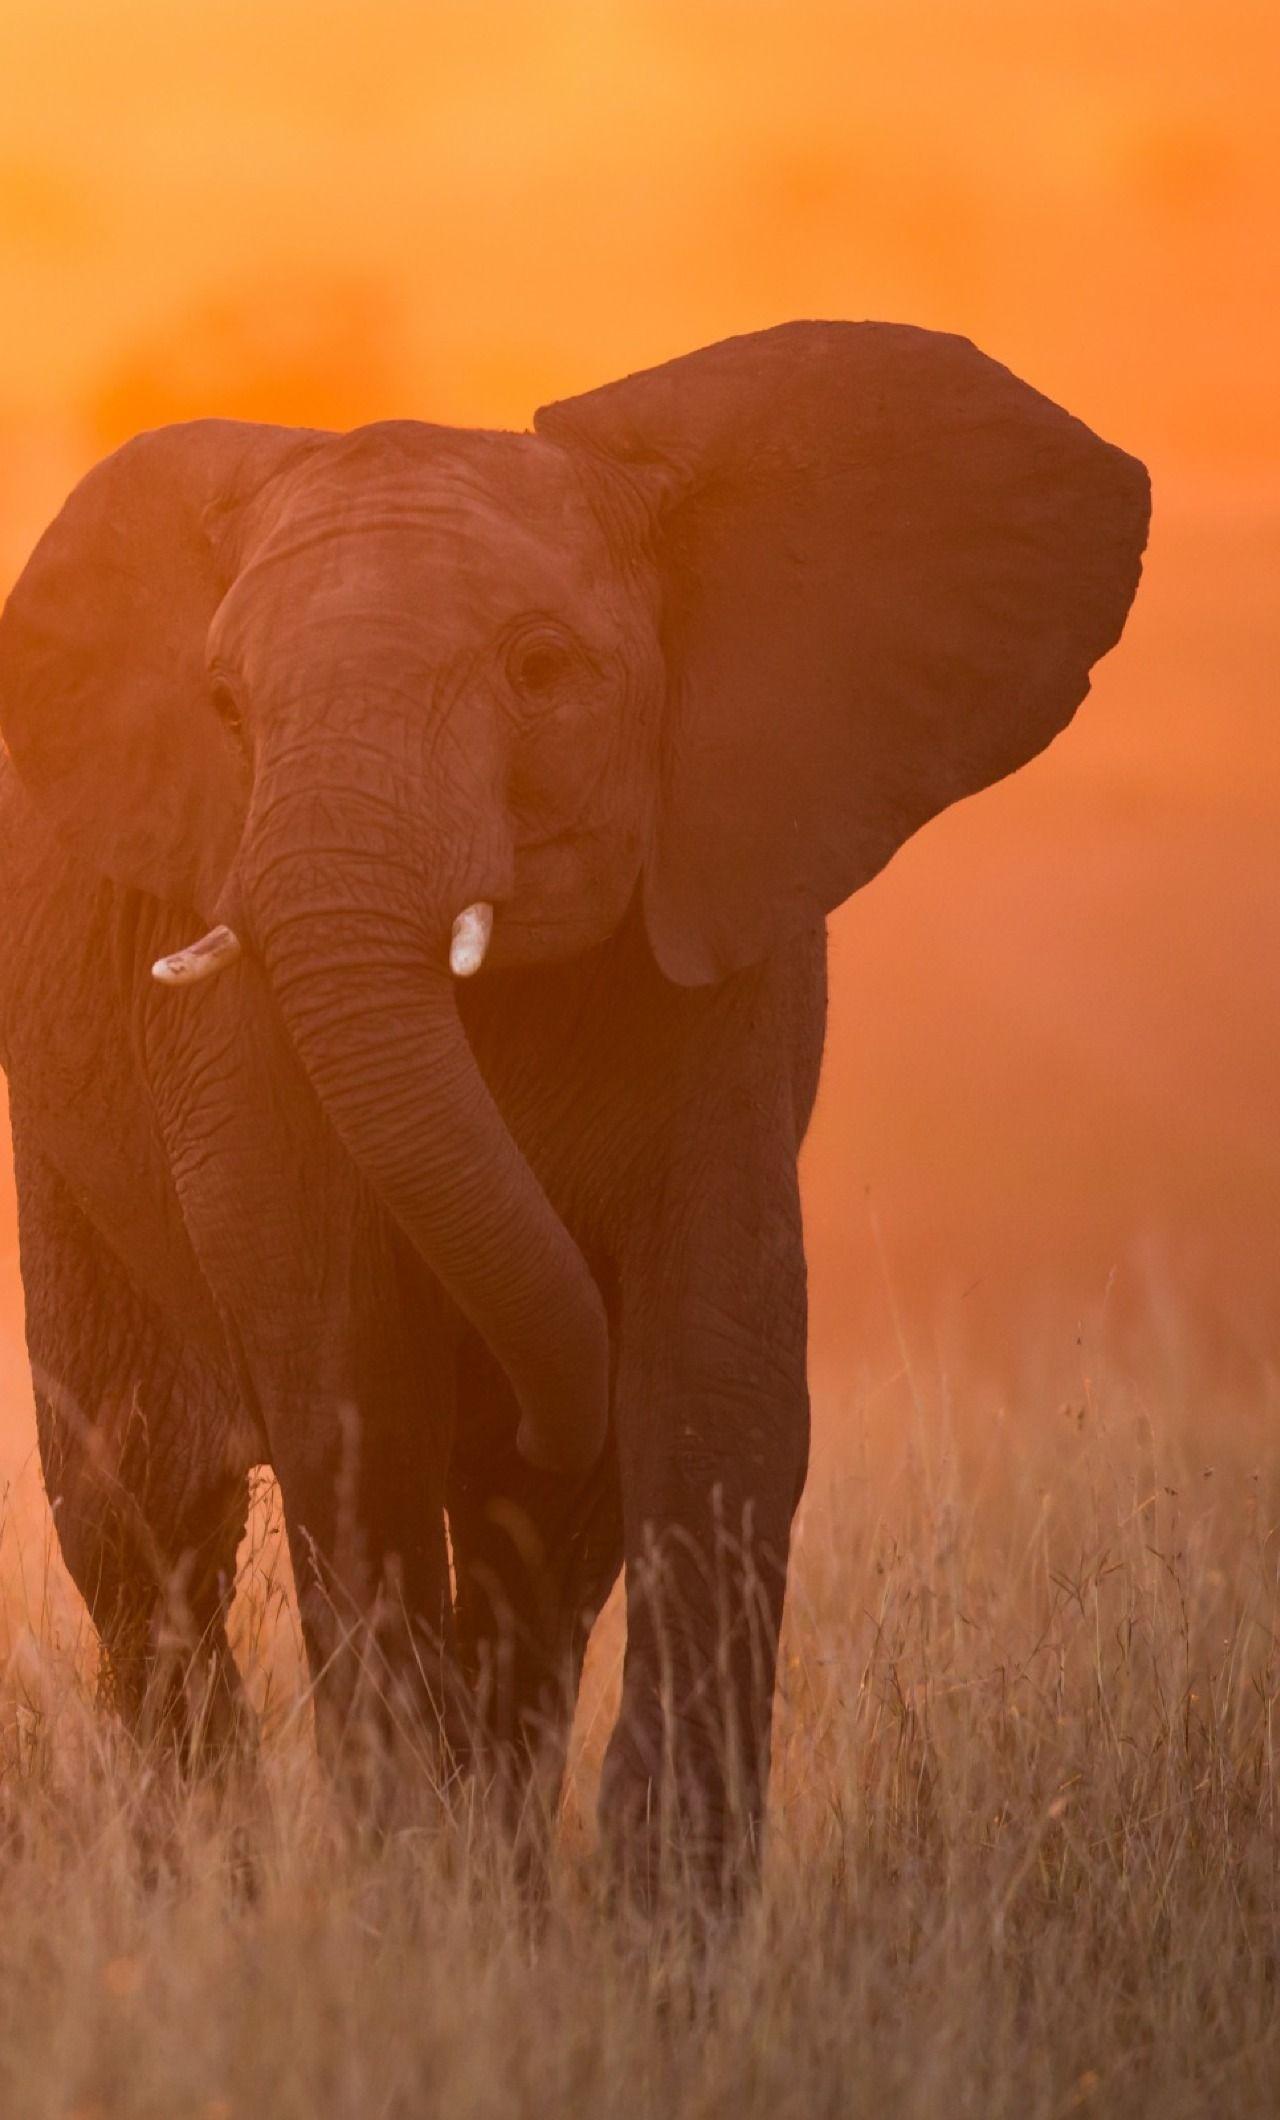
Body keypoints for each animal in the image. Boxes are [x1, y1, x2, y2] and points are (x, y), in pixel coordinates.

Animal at [0, 321, 1149, 1892]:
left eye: (541, 668)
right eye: (225, 709)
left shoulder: (728, 938)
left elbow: (711, 1375)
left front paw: (656, 1924)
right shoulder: (230, 971)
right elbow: (346, 1374)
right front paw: (409, 1894)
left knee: (535, 1539)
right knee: (141, 1512)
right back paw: (215, 1889)